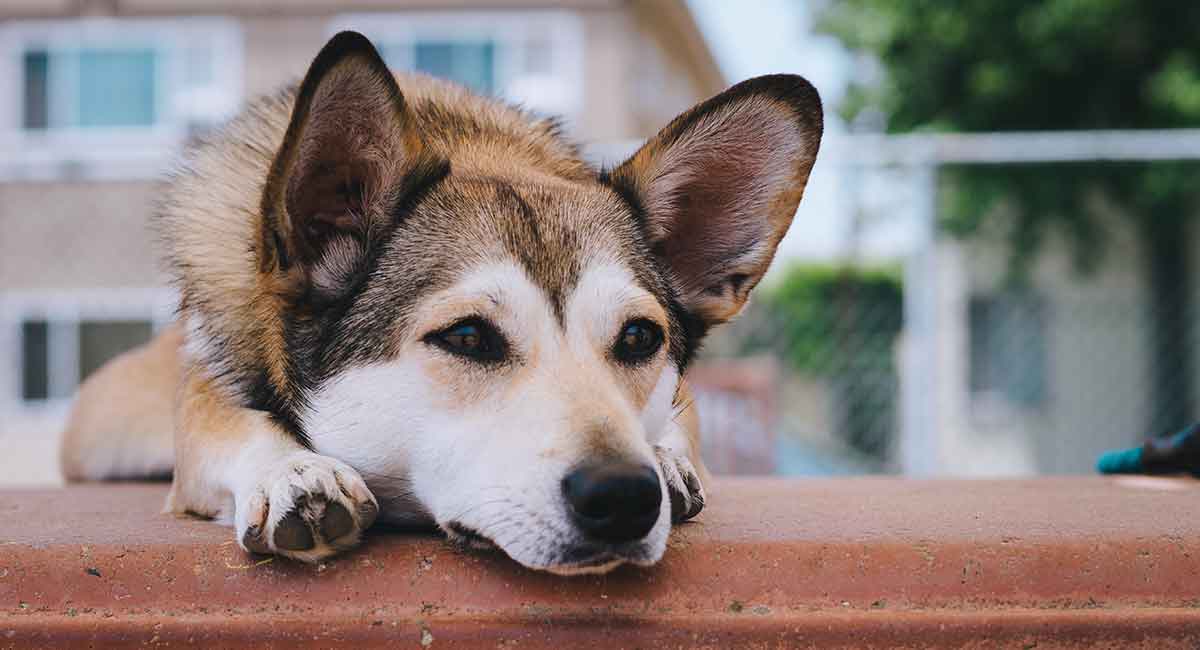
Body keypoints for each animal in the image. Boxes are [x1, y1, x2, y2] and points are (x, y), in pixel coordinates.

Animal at [58, 31, 825, 575]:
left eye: (639, 339)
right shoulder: (207, 395)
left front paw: (667, 459)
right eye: (467, 337)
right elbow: (234, 424)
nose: (625, 495)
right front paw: (292, 472)